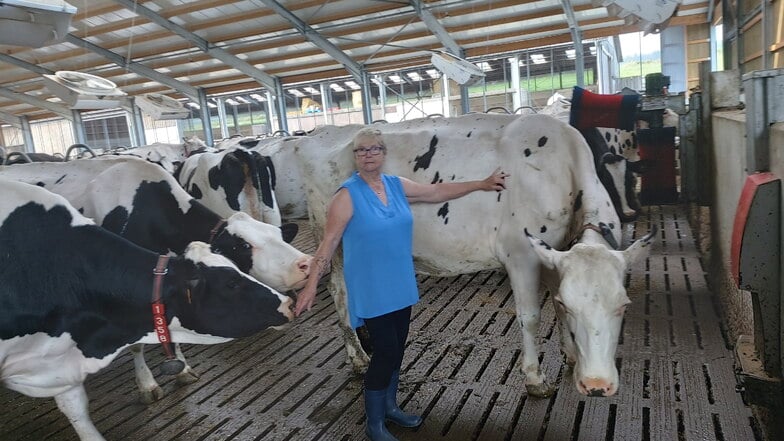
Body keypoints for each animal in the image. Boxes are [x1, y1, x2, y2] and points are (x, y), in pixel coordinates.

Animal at [0, 176, 294, 440]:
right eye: (231, 282)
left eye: (277, 235)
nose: (288, 303)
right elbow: (138, 348)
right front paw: (147, 384)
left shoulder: (61, 354)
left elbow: (77, 412)